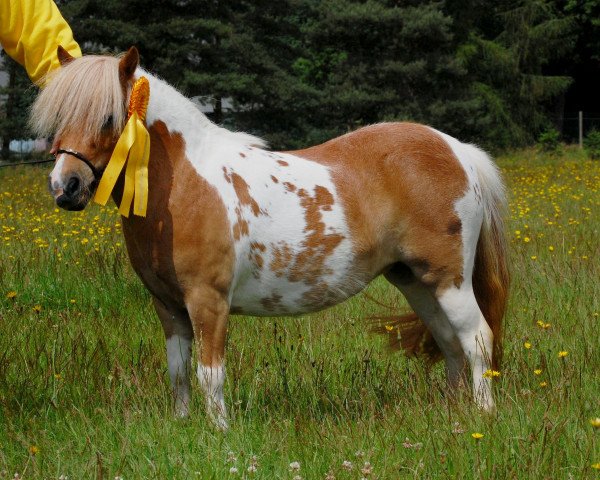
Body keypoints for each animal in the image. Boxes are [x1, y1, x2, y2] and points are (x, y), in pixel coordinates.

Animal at [31, 46, 510, 428]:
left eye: (109, 118)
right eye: (58, 118)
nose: (65, 187)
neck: (185, 183)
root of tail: (458, 150)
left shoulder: (208, 301)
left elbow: (210, 373)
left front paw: (218, 433)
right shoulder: (168, 305)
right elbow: (179, 371)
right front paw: (182, 426)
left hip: (449, 281)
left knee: (476, 339)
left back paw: (483, 416)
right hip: (416, 281)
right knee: (449, 343)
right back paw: (454, 415)